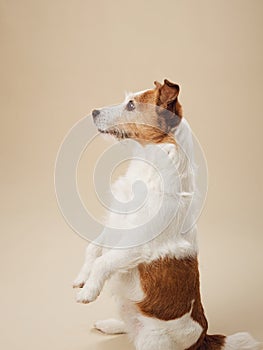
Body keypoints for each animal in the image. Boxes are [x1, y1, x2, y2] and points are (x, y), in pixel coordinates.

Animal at [72, 79, 262, 350]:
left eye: (131, 105)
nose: (93, 112)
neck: (146, 167)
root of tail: (203, 336)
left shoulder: (137, 245)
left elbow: (104, 261)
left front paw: (88, 291)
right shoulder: (114, 224)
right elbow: (93, 249)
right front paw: (82, 278)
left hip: (152, 338)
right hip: (125, 307)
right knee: (127, 324)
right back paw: (109, 324)